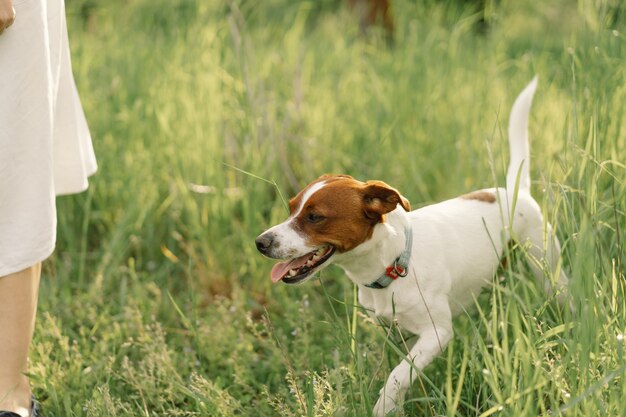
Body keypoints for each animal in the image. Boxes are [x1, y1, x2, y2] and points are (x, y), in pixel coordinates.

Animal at [254, 79, 564, 416]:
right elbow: (402, 370)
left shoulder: (437, 333)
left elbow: (398, 375)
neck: (393, 261)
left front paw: (384, 404)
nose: (261, 243)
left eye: (314, 217)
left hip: (550, 272)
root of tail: (514, 190)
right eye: (291, 208)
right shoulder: (395, 332)